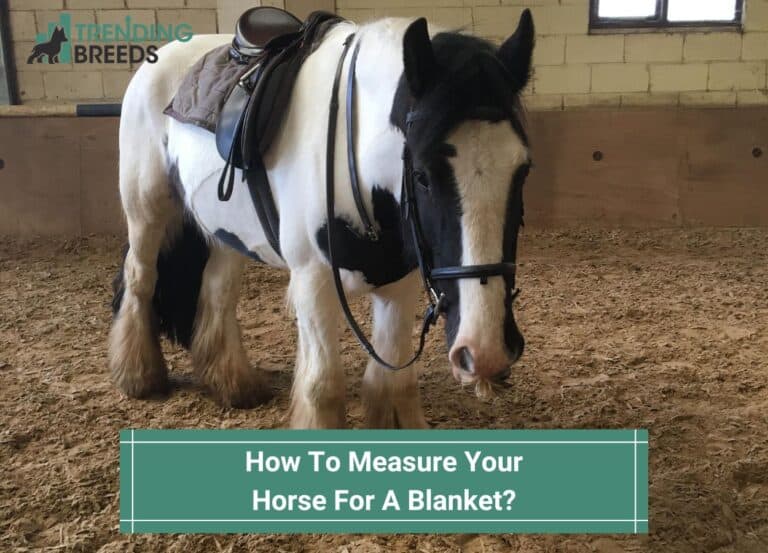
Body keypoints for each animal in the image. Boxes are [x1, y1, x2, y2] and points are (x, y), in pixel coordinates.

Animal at [109, 10, 535, 429]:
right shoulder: (313, 282)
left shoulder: (400, 285)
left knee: (217, 291)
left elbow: (393, 387)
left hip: (225, 231)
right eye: (422, 175)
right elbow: (322, 388)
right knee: (140, 278)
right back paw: (140, 376)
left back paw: (234, 384)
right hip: (147, 210)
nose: (484, 350)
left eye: (524, 170)